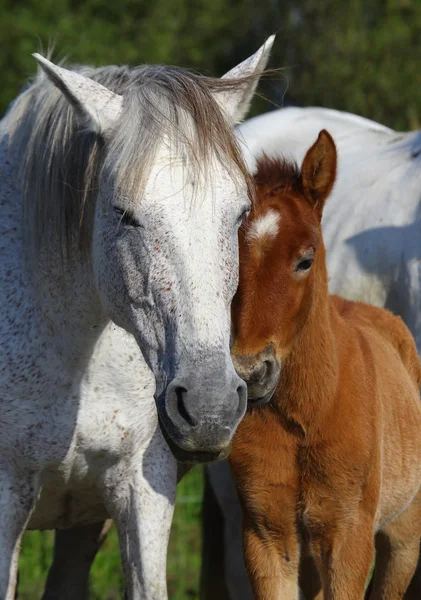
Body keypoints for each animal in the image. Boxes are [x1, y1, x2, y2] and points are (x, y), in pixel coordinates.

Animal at [205, 104, 420, 600]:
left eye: (305, 259)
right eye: (226, 261)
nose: (251, 371)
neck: (308, 414)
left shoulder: (347, 541)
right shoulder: (269, 539)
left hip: (402, 543)